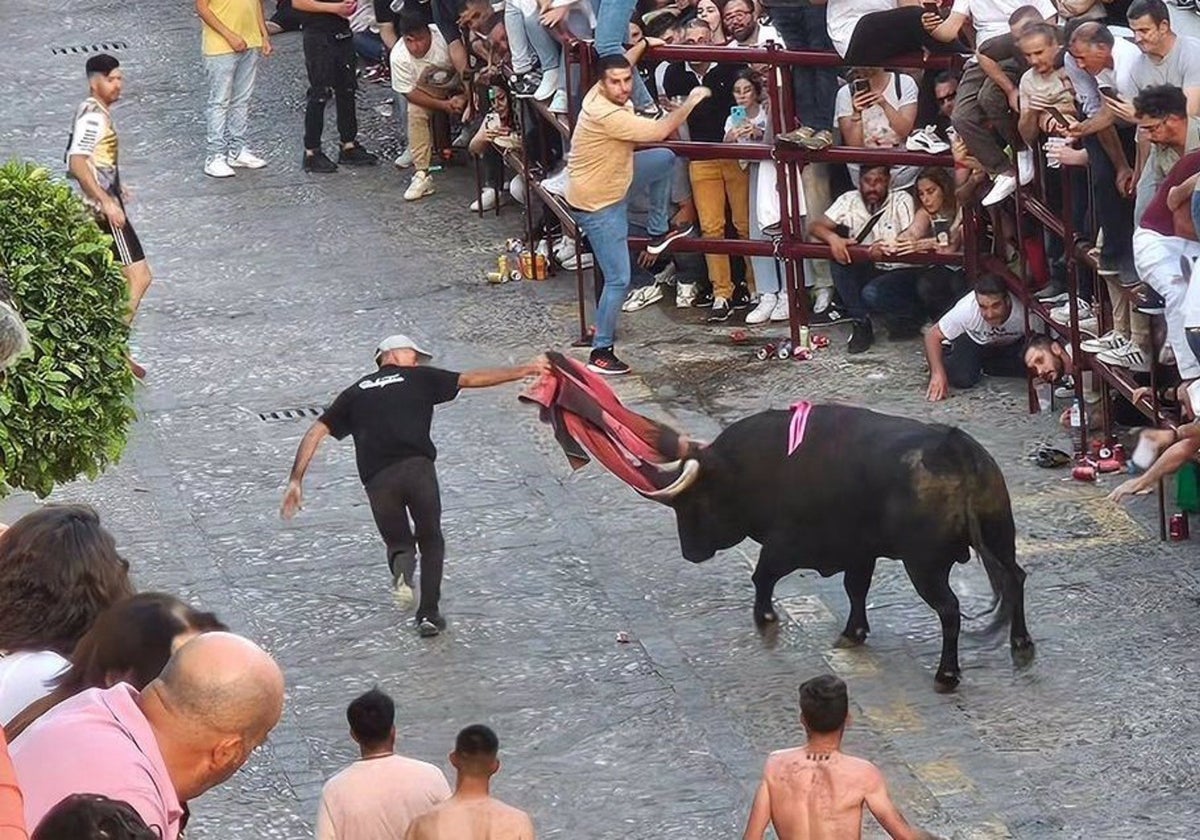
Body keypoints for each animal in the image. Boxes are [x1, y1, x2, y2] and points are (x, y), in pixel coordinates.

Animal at [643, 405, 1036, 691]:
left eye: (694, 501)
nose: (690, 552)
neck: (749, 467)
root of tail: (953, 449)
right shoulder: (860, 552)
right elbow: (855, 588)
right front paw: (854, 631)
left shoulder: (786, 542)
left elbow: (763, 575)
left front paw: (765, 615)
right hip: (1000, 535)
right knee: (1015, 578)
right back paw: (1020, 641)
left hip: (924, 565)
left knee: (950, 609)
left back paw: (947, 674)